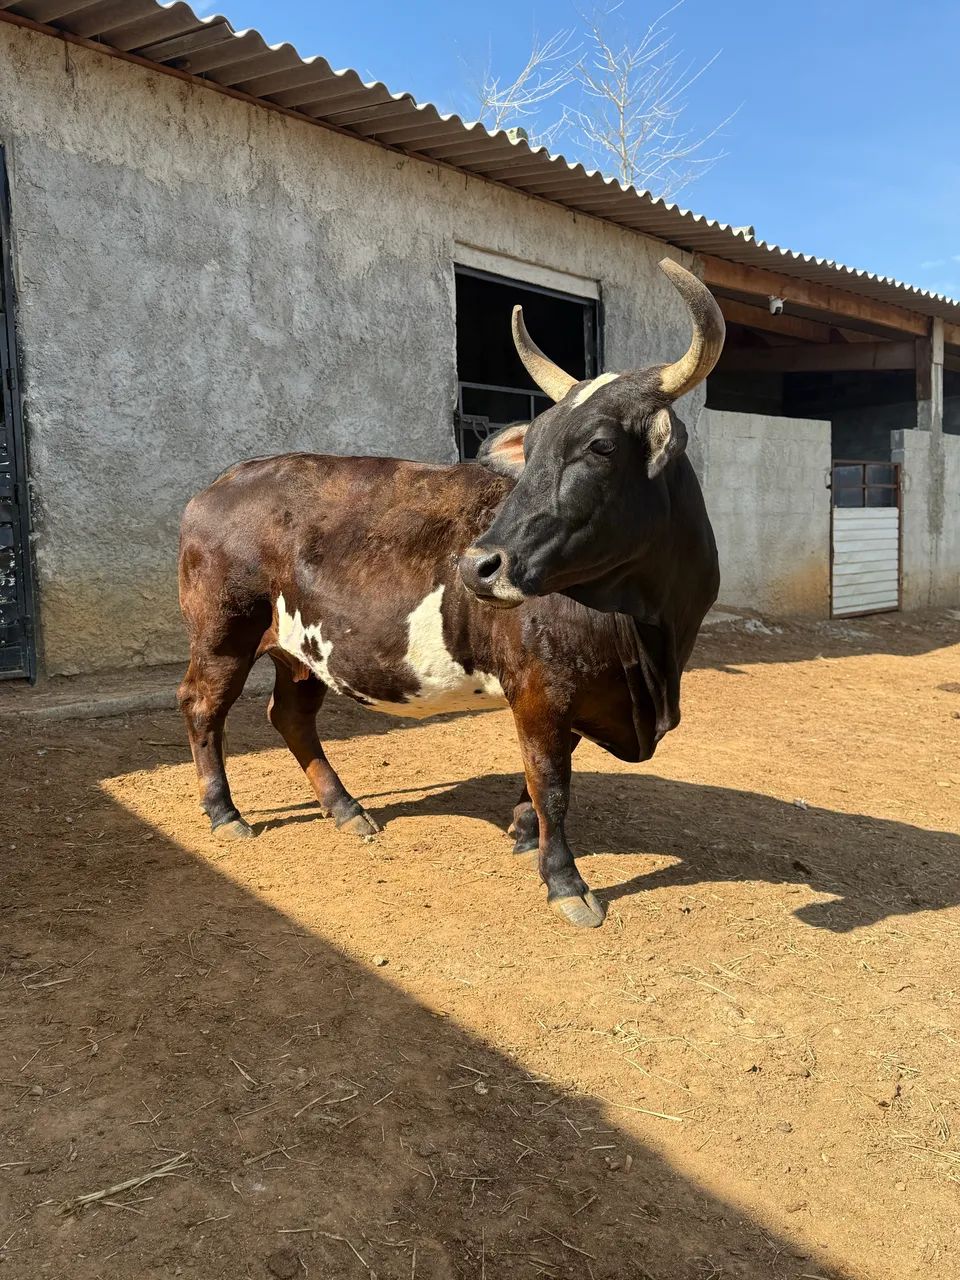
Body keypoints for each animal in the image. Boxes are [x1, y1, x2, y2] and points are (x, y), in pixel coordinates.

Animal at [177, 258, 724, 929]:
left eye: (601, 445)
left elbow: (541, 777)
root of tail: (225, 481)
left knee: (290, 716)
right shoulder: (541, 691)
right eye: (532, 446)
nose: (478, 567)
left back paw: (345, 809)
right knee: (204, 706)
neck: (650, 637)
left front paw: (523, 832)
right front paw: (565, 882)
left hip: (302, 649)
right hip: (224, 631)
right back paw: (225, 812)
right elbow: (552, 781)